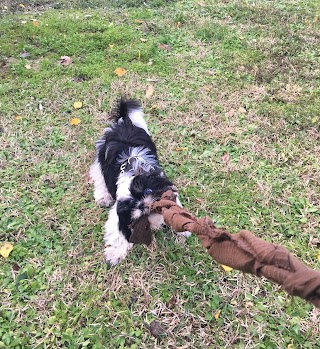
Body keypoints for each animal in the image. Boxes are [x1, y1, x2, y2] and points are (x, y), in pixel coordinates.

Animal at [89, 99, 190, 266]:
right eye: (132, 205)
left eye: (148, 192)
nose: (143, 205)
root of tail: (122, 122)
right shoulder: (119, 213)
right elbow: (119, 231)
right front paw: (115, 254)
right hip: (100, 158)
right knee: (99, 175)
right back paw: (103, 196)